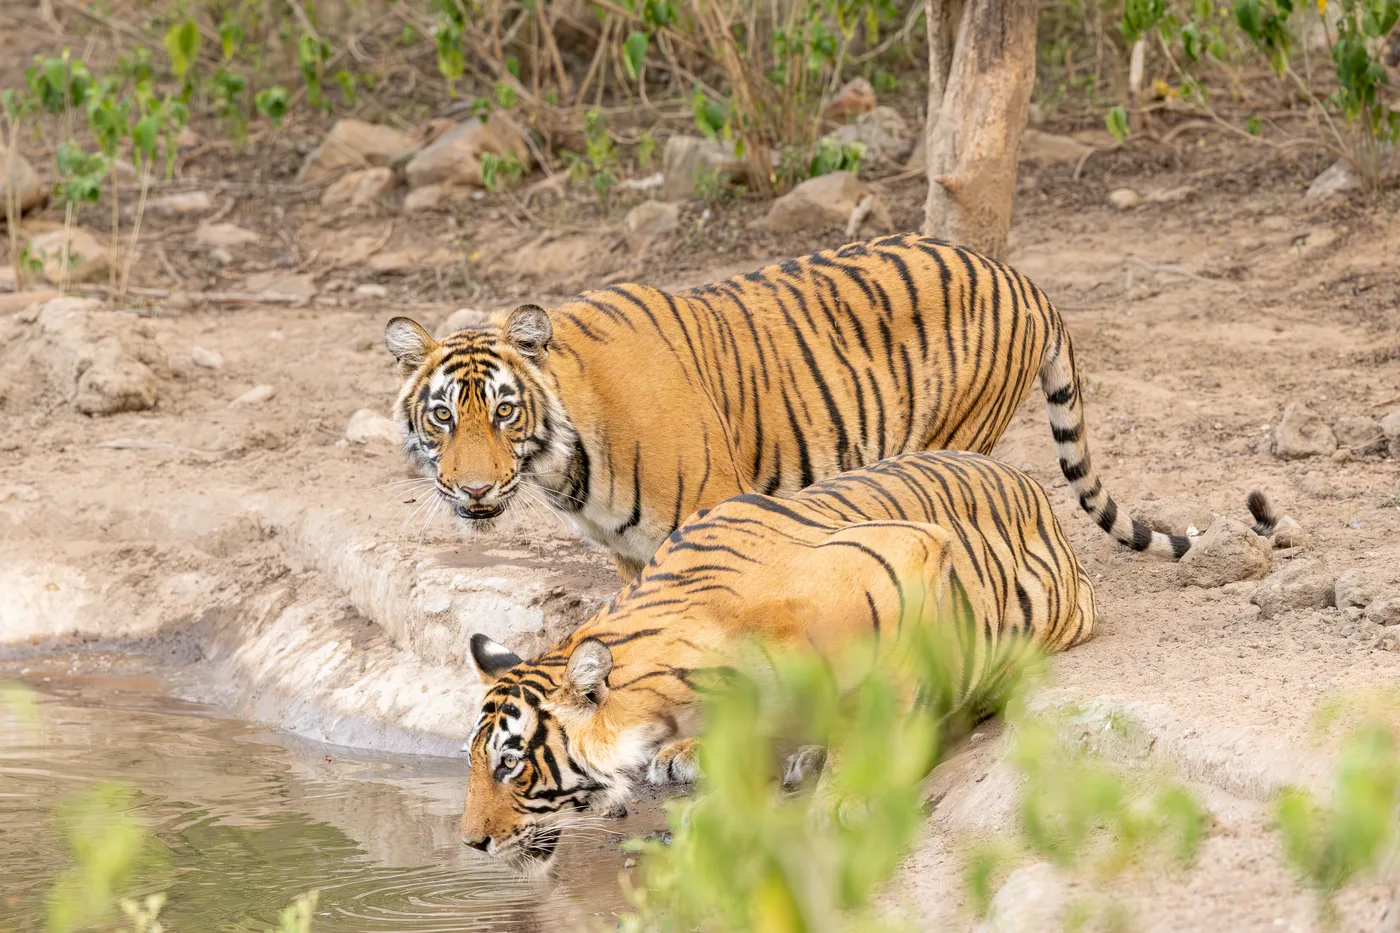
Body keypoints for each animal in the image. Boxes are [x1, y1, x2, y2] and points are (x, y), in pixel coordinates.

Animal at [385, 233, 1211, 584]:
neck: (567, 468)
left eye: (505, 412)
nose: (474, 489)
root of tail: (1025, 278)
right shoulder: (626, 550)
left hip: (951, 433)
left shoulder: (708, 511)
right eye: (443, 417)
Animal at [456, 450, 1105, 869]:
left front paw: (844, 795)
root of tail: (1032, 488)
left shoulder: (905, 554)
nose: (470, 843)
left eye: (510, 764)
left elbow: (879, 705)